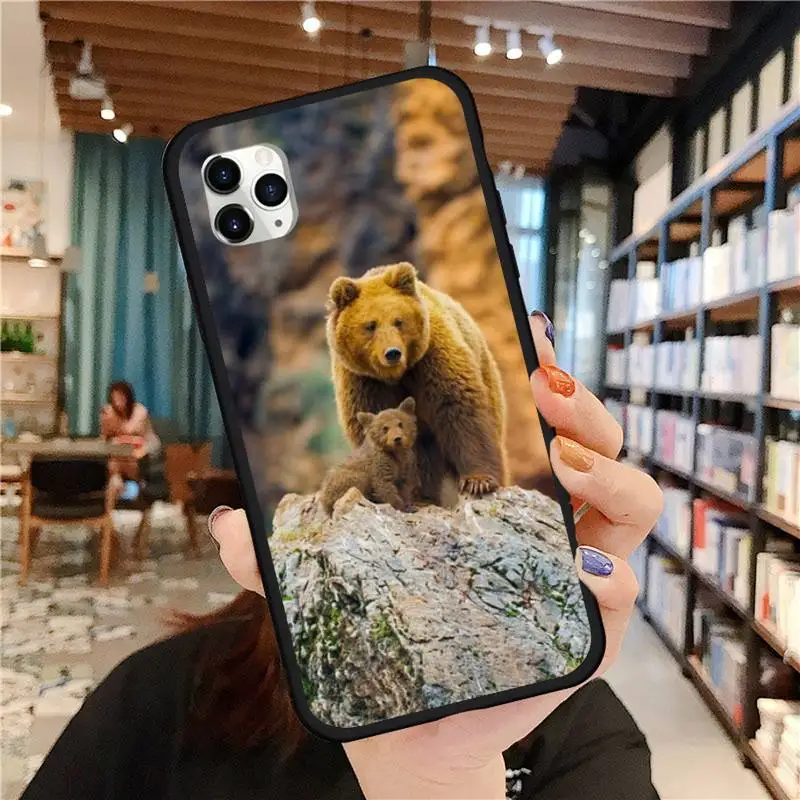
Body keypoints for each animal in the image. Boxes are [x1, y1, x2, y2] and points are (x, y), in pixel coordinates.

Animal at [325, 262, 508, 502]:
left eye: (398, 321)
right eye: (370, 325)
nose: (392, 353)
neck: (395, 376)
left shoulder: (432, 359)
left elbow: (459, 409)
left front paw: (478, 481)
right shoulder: (363, 382)